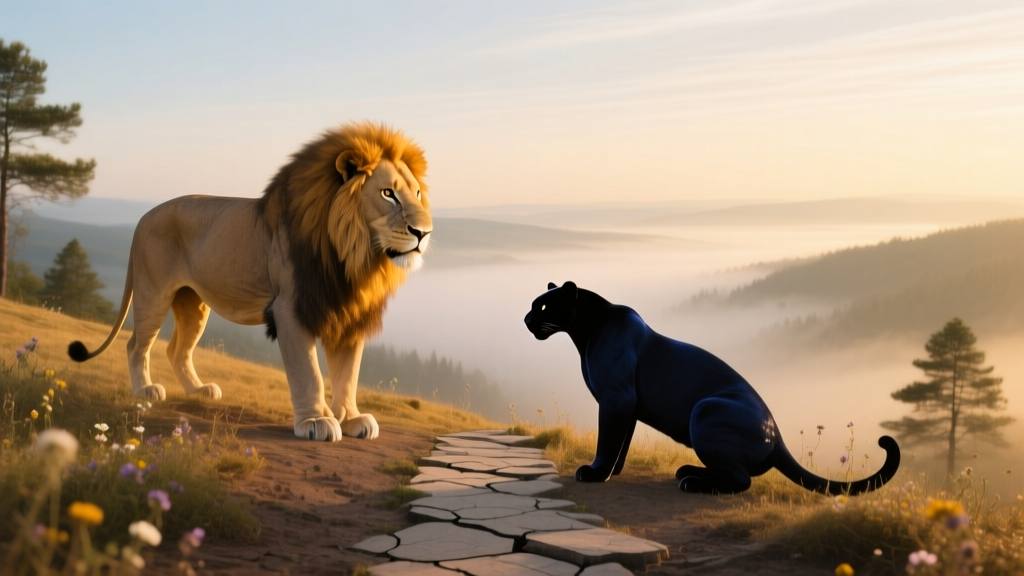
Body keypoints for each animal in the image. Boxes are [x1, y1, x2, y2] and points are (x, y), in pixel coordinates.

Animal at [68, 122, 431, 442]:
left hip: (192, 303)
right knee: (135, 345)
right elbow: (309, 372)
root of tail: (142, 218)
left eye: (416, 193)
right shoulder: (290, 308)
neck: (353, 257)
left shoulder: (345, 309)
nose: (424, 233)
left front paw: (351, 418)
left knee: (176, 350)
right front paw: (316, 421)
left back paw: (199, 391)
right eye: (388, 194)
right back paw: (145, 390)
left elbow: (348, 373)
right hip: (153, 293)